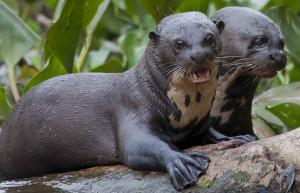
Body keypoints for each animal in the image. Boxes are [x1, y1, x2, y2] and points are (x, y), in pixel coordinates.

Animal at [0, 12, 225, 190]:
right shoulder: (134, 106)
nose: (199, 54)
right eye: (179, 43)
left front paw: (229, 138)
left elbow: (209, 131)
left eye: (209, 38)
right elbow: (137, 147)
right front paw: (184, 162)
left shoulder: (200, 122)